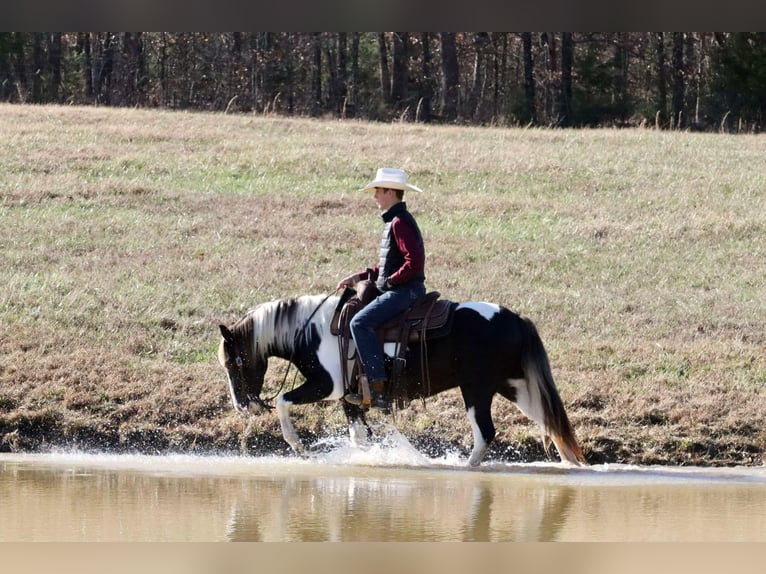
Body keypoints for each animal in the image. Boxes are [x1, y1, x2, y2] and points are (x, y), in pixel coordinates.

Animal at [218, 292, 588, 468]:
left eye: (234, 362)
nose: (243, 406)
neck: (313, 331)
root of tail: (516, 318)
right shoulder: (350, 398)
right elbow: (359, 437)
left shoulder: (328, 386)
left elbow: (283, 401)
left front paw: (297, 446)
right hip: (516, 386)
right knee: (552, 421)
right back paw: (570, 465)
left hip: (477, 389)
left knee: (485, 433)